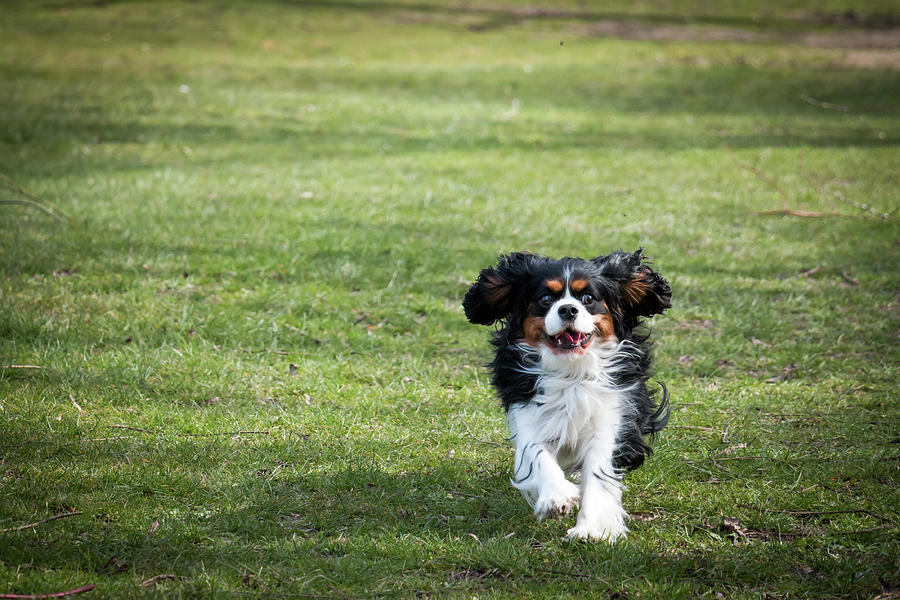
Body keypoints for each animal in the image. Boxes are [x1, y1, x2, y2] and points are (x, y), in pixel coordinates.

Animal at [464, 251, 668, 540]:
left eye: (588, 299)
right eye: (546, 299)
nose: (568, 309)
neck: (571, 371)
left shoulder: (610, 417)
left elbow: (597, 472)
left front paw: (591, 527)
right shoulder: (528, 412)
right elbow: (538, 455)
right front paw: (556, 497)